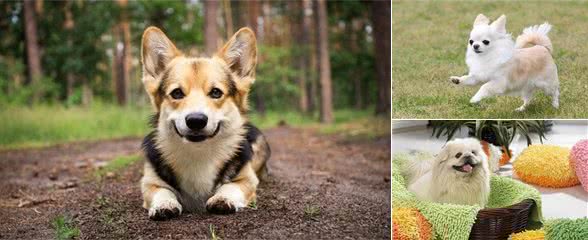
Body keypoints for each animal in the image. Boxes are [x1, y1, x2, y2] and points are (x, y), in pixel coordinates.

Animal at [140, 27, 272, 220]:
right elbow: (162, 191)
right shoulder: (150, 182)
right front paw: (164, 204)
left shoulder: (247, 180)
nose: (196, 121)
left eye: (216, 92)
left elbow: (231, 186)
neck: (199, 152)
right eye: (177, 93)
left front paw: (222, 199)